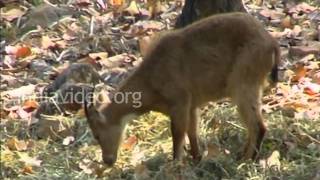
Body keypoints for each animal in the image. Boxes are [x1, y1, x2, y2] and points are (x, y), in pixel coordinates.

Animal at [84, 11, 280, 165]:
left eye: (97, 135)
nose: (107, 160)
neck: (152, 84)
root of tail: (272, 44)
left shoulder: (180, 100)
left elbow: (177, 134)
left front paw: (175, 164)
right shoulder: (192, 104)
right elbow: (192, 131)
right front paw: (197, 158)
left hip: (243, 83)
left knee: (258, 125)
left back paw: (246, 160)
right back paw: (241, 155)